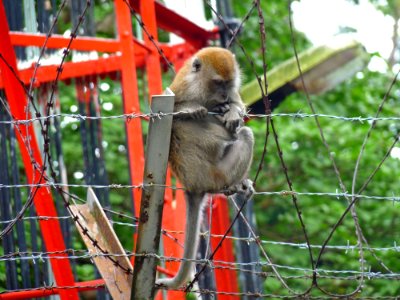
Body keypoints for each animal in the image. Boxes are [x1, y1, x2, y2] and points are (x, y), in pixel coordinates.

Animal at [156, 47, 253, 290]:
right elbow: (176, 110)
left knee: (242, 131)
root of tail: (193, 185)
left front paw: (231, 111)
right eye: (217, 83)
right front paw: (193, 109)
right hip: (216, 174)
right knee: (243, 134)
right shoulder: (182, 86)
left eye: (228, 83)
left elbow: (239, 106)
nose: (224, 97)